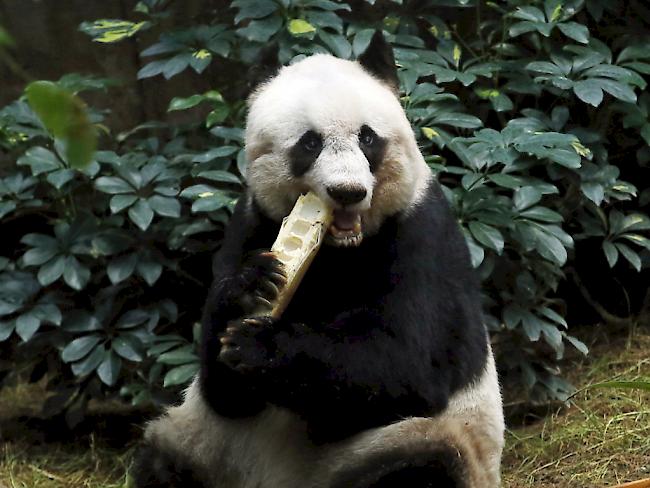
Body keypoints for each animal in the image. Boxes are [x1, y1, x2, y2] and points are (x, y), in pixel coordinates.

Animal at [132, 32, 504, 488]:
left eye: (368, 138)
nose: (348, 192)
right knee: (162, 459)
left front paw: (259, 345)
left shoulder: (423, 235)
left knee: (426, 460)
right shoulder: (250, 222)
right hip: (205, 447)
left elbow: (409, 364)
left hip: (404, 448)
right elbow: (222, 389)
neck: (338, 249)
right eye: (310, 143)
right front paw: (250, 287)